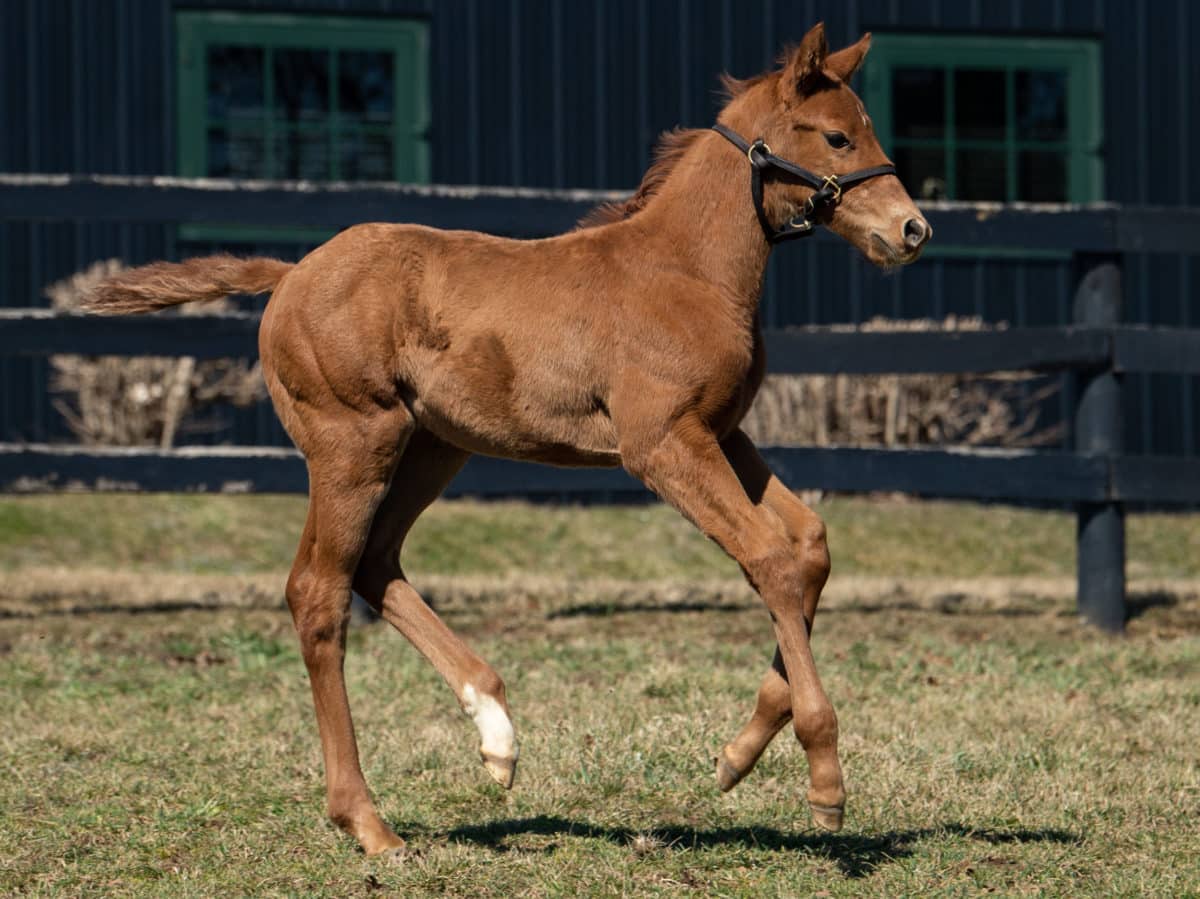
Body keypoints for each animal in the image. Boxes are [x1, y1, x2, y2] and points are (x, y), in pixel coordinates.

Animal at [88, 24, 931, 854]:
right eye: (836, 135)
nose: (912, 229)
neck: (688, 270)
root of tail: (290, 273)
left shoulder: (721, 432)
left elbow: (809, 544)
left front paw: (735, 755)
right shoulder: (661, 445)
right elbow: (769, 560)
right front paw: (825, 779)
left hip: (431, 447)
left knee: (374, 564)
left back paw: (496, 734)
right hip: (352, 442)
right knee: (317, 592)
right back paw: (368, 820)